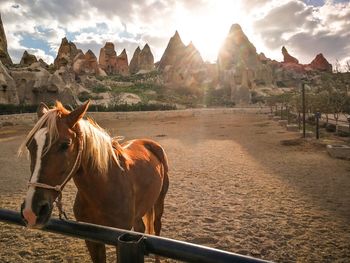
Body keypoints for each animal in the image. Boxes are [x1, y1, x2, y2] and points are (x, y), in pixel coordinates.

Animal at [19, 100, 170, 262]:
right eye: (30, 146)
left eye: (66, 144)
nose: (31, 212)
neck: (104, 188)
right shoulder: (92, 239)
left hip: (159, 201)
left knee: (156, 227)